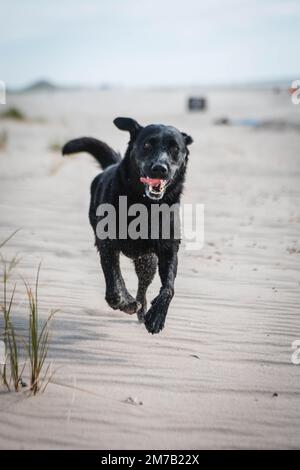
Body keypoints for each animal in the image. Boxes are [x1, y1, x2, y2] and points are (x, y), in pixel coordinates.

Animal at [62, 117, 193, 334]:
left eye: (175, 148)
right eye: (147, 145)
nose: (160, 168)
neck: (144, 205)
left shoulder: (168, 251)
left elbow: (168, 288)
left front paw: (156, 317)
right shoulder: (107, 245)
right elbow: (114, 285)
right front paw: (126, 302)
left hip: (147, 260)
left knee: (143, 288)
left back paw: (143, 312)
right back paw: (135, 305)